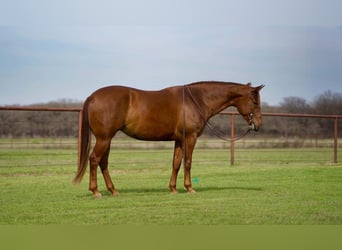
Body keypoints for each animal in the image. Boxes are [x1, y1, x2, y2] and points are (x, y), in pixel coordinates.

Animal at [73, 82, 264, 197]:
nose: (258, 125)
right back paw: (96, 191)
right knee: (94, 160)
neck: (196, 100)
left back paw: (113, 190)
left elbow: (176, 163)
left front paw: (173, 188)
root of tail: (92, 97)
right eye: (255, 102)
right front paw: (189, 187)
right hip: (104, 139)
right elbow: (188, 162)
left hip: (107, 139)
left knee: (103, 162)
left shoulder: (179, 140)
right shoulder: (190, 138)